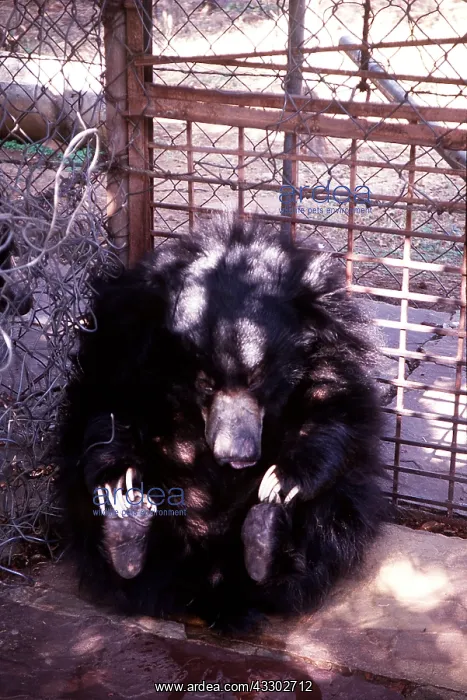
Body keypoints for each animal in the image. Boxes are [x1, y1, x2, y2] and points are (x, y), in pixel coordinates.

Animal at [57, 213, 385, 632]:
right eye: (205, 381)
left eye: (259, 378)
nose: (237, 456)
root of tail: (211, 583)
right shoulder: (122, 338)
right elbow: (107, 407)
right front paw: (120, 479)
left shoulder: (335, 347)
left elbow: (335, 408)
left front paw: (282, 481)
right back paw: (127, 533)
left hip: (334, 512)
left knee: (333, 515)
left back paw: (265, 539)